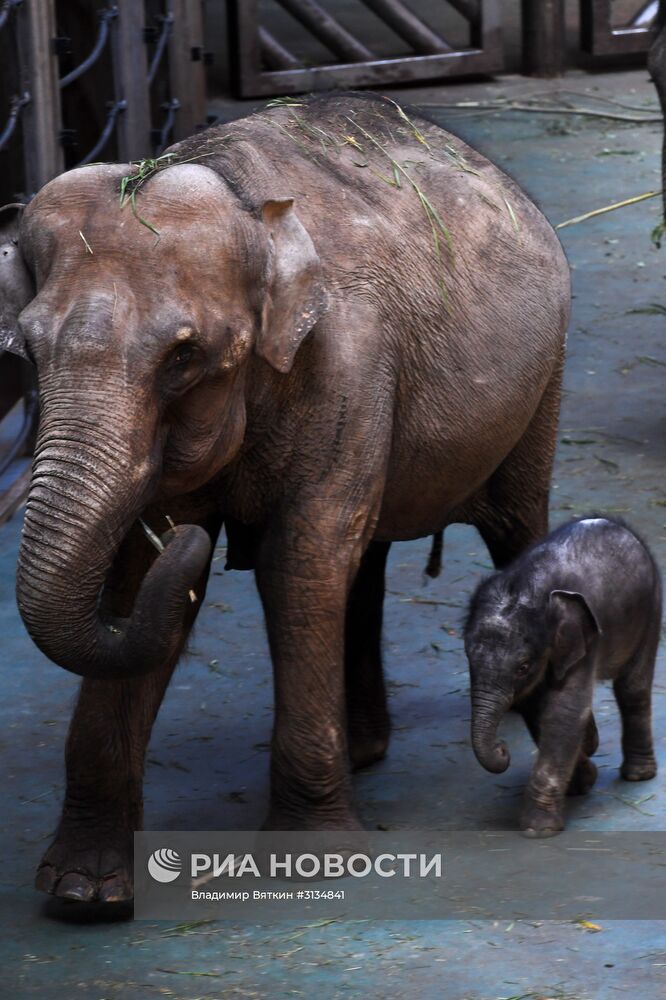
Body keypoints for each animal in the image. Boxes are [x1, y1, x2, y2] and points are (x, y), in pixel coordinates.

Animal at [1, 97, 564, 904]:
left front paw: (316, 860)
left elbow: (297, 561)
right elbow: (143, 585)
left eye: (184, 357)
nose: (194, 538)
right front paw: (82, 892)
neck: (243, 201)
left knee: (514, 526)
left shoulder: (349, 359)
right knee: (363, 560)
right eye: (28, 351)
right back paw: (363, 750)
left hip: (541, 384)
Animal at [462, 516, 660, 836]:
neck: (526, 587)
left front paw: (538, 829)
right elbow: (535, 709)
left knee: (632, 686)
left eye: (522, 666)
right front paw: (581, 784)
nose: (503, 749)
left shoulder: (583, 638)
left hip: (651, 605)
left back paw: (638, 775)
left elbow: (563, 711)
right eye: (468, 656)